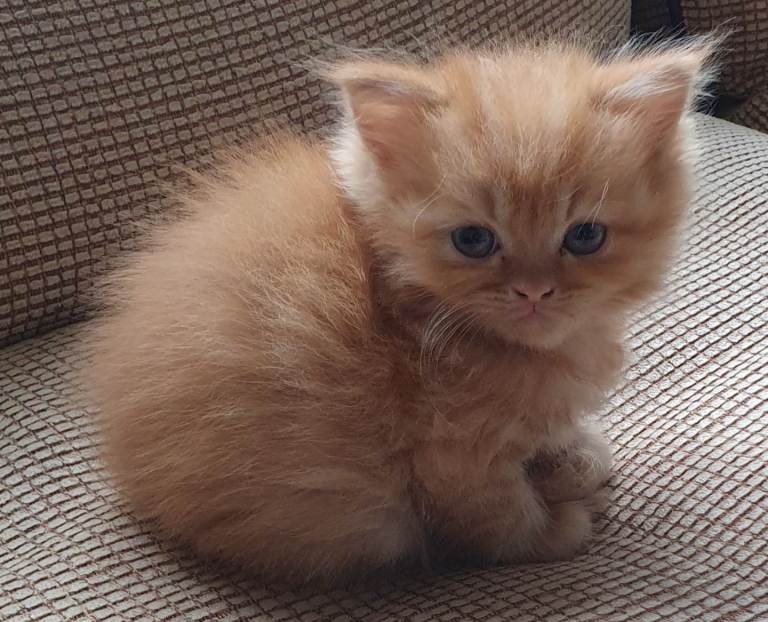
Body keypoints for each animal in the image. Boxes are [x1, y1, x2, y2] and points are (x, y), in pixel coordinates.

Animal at [87, 37, 714, 585]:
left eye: (585, 236)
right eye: (473, 240)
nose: (534, 291)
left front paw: (572, 458)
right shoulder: (452, 453)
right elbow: (500, 519)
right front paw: (558, 527)